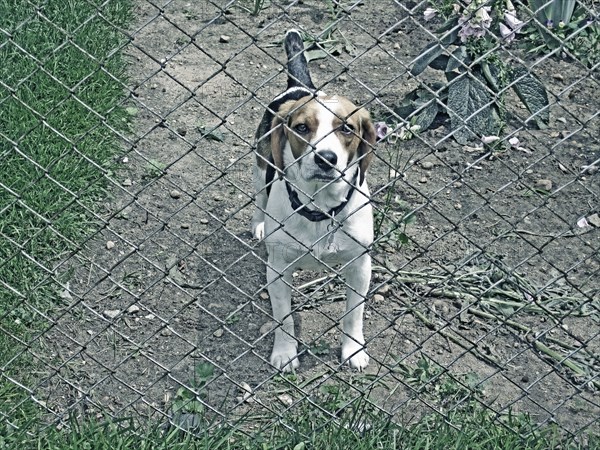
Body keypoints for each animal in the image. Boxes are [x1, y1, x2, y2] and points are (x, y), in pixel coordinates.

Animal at [252, 29, 376, 372]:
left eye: (347, 128)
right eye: (302, 128)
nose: (326, 159)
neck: (321, 210)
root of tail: (300, 86)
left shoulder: (361, 266)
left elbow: (353, 315)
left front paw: (353, 350)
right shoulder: (278, 270)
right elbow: (283, 319)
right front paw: (285, 353)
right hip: (260, 166)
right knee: (259, 199)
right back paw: (259, 225)